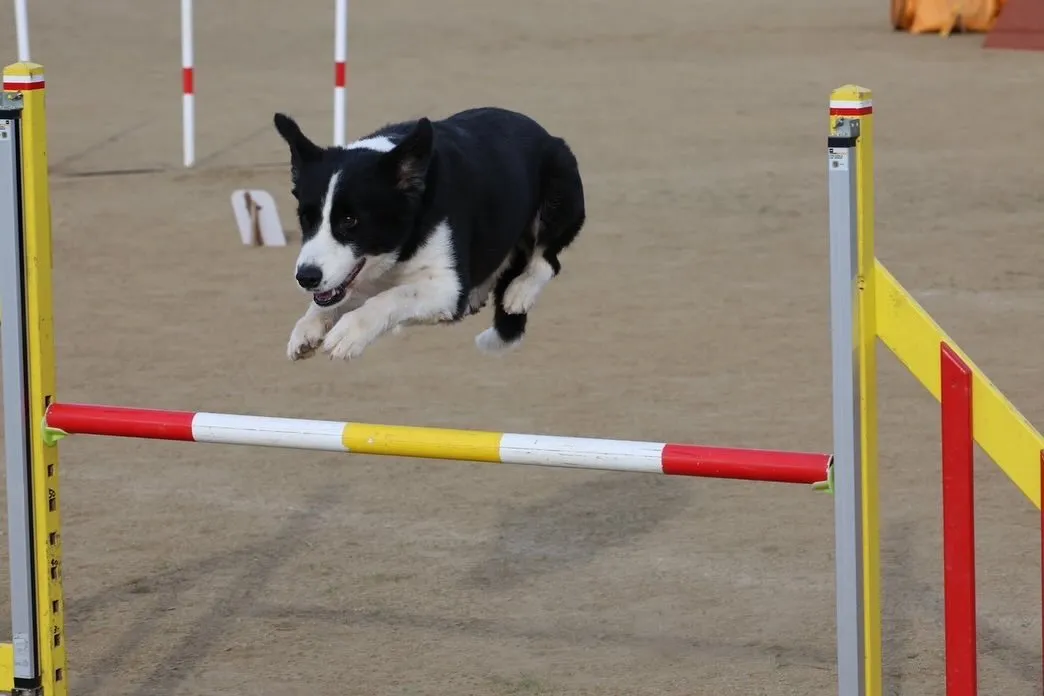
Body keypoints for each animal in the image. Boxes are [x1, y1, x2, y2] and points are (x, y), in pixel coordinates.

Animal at [273, 107, 584, 365]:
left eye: (350, 220)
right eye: (306, 218)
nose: (306, 277)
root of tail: (547, 134)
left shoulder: (447, 288)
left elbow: (393, 296)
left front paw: (349, 333)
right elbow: (338, 298)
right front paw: (308, 327)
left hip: (558, 195)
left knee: (547, 259)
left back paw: (520, 290)